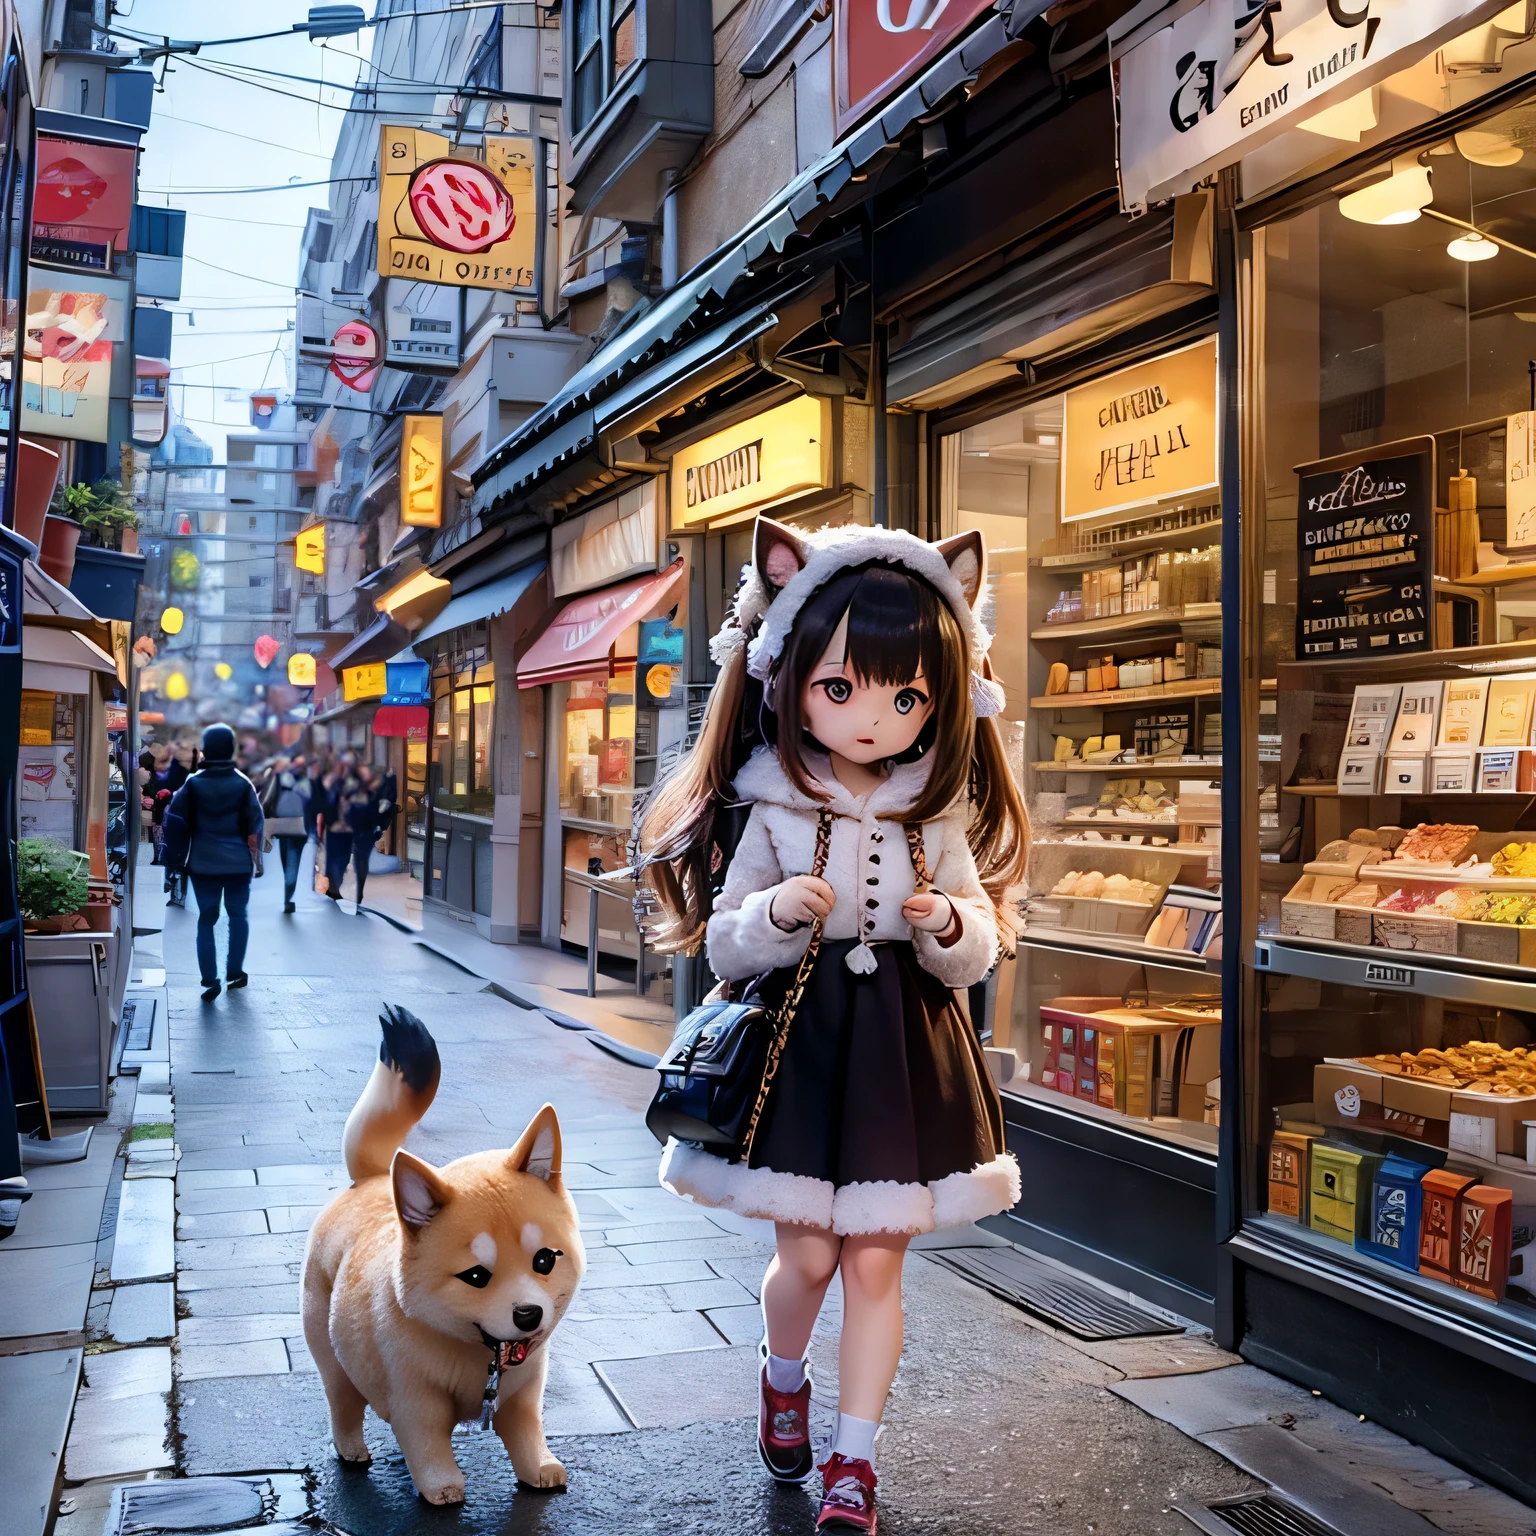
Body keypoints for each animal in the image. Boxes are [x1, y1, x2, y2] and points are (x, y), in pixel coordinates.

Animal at [302, 1007, 583, 1499]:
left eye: (545, 1260)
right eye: (476, 1276)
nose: (528, 1314)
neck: (480, 1357)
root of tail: (371, 1178)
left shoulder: (523, 1395)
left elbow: (528, 1431)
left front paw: (540, 1467)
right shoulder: (415, 1399)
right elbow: (426, 1442)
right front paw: (442, 1486)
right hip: (333, 1355)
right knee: (343, 1403)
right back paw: (351, 1449)